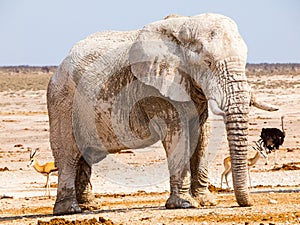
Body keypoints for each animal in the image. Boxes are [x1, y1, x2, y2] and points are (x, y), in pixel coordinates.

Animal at [47, 13, 278, 214]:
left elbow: (202, 136)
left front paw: (206, 202)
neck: (184, 29)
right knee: (68, 155)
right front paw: (184, 204)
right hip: (62, 102)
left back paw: (90, 206)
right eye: (208, 63)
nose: (248, 203)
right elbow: (177, 133)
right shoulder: (156, 90)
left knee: (84, 156)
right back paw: (69, 210)